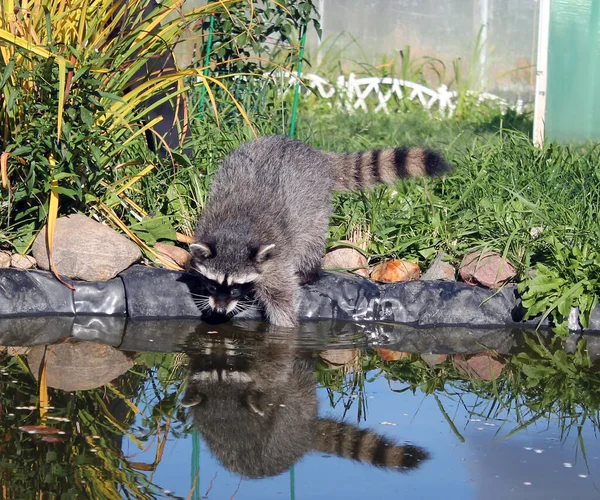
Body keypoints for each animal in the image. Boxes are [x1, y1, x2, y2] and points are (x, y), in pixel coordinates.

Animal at [190, 135, 448, 326]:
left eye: (236, 289)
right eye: (212, 285)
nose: (220, 309)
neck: (235, 230)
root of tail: (316, 155)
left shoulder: (276, 256)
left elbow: (281, 296)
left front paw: (284, 327)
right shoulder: (208, 222)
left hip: (314, 206)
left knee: (310, 239)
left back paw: (309, 270)